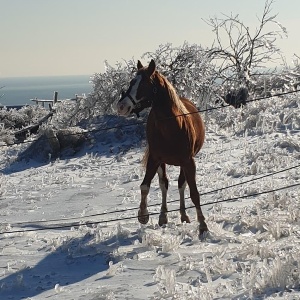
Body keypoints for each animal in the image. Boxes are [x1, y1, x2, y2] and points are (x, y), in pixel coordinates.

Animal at [117, 59, 209, 236]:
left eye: (143, 84)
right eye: (132, 82)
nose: (121, 106)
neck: (172, 126)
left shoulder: (188, 161)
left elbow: (194, 193)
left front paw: (203, 226)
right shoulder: (154, 159)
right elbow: (145, 186)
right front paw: (143, 215)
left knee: (181, 184)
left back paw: (183, 215)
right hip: (162, 163)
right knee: (164, 184)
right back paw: (163, 216)